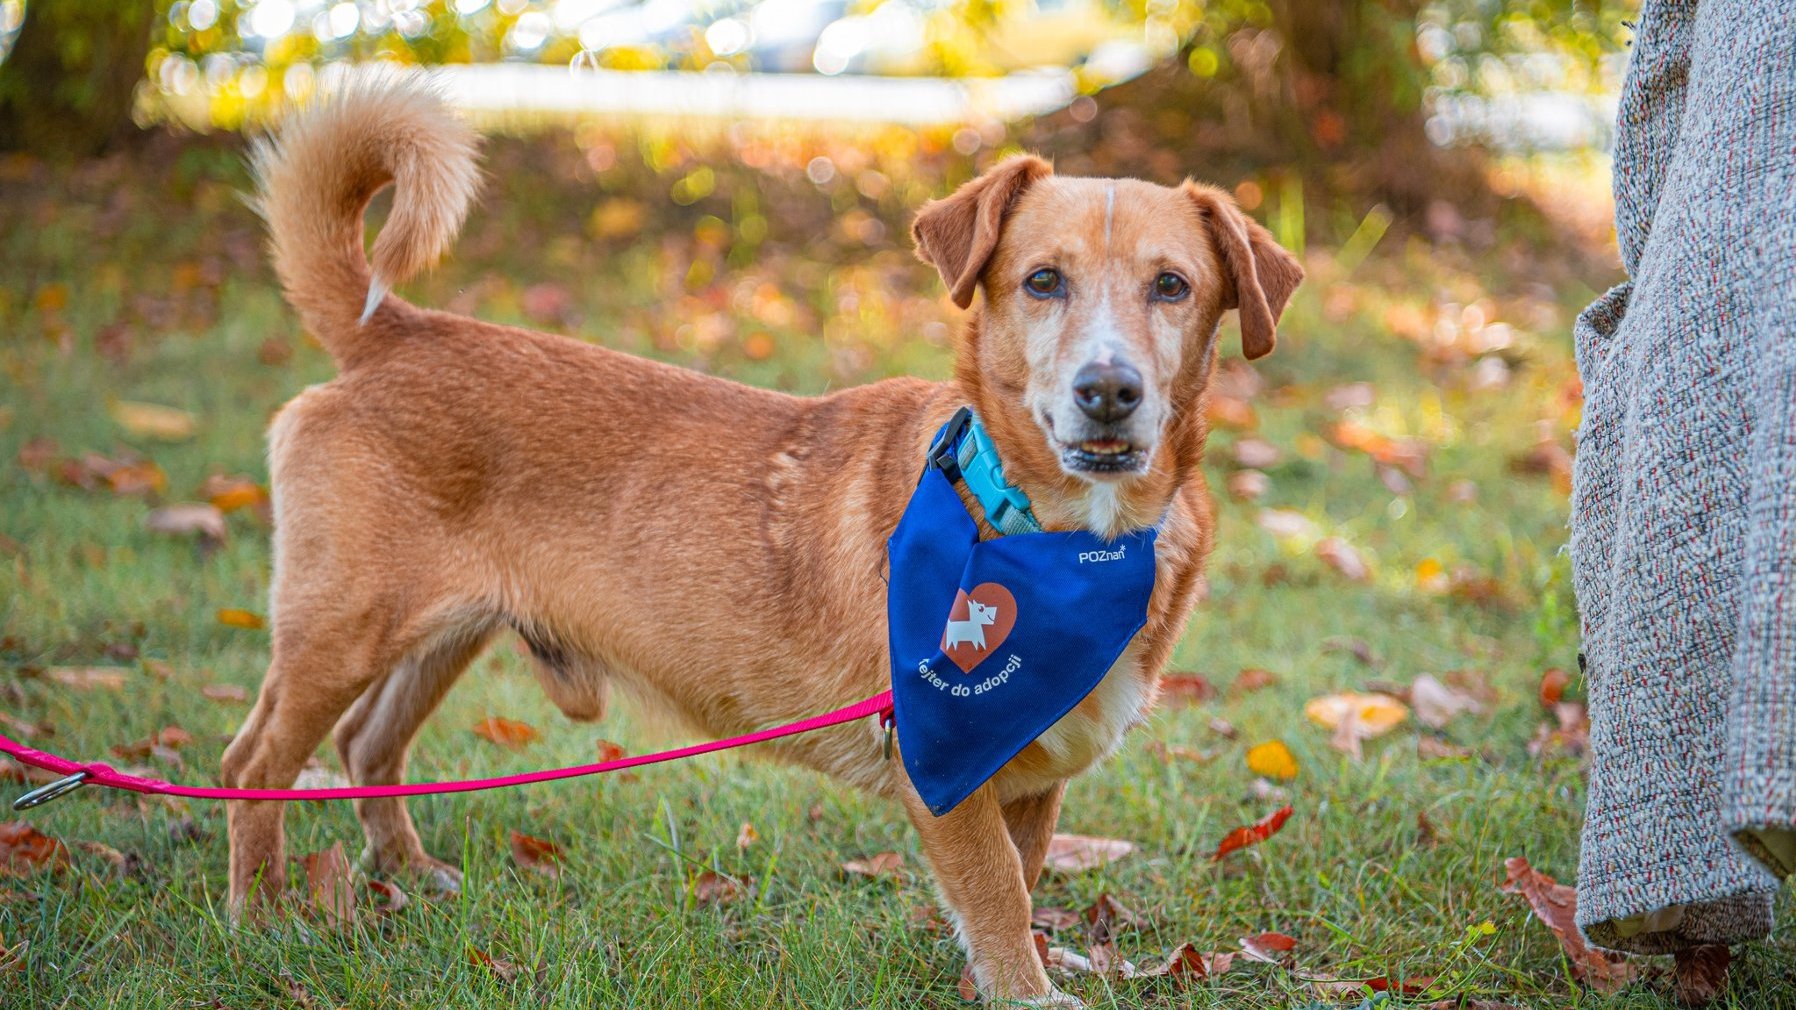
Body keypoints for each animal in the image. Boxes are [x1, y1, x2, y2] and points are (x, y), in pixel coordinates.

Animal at [224, 74, 1300, 999]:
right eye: (1042, 280)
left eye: (1171, 286)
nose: (1108, 391)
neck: (1057, 533)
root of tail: (393, 328)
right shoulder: (944, 768)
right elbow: (998, 896)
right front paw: (1025, 992)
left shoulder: (1027, 778)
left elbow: (1018, 885)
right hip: (341, 632)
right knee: (253, 767)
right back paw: (260, 914)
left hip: (443, 632)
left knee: (367, 743)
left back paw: (407, 872)